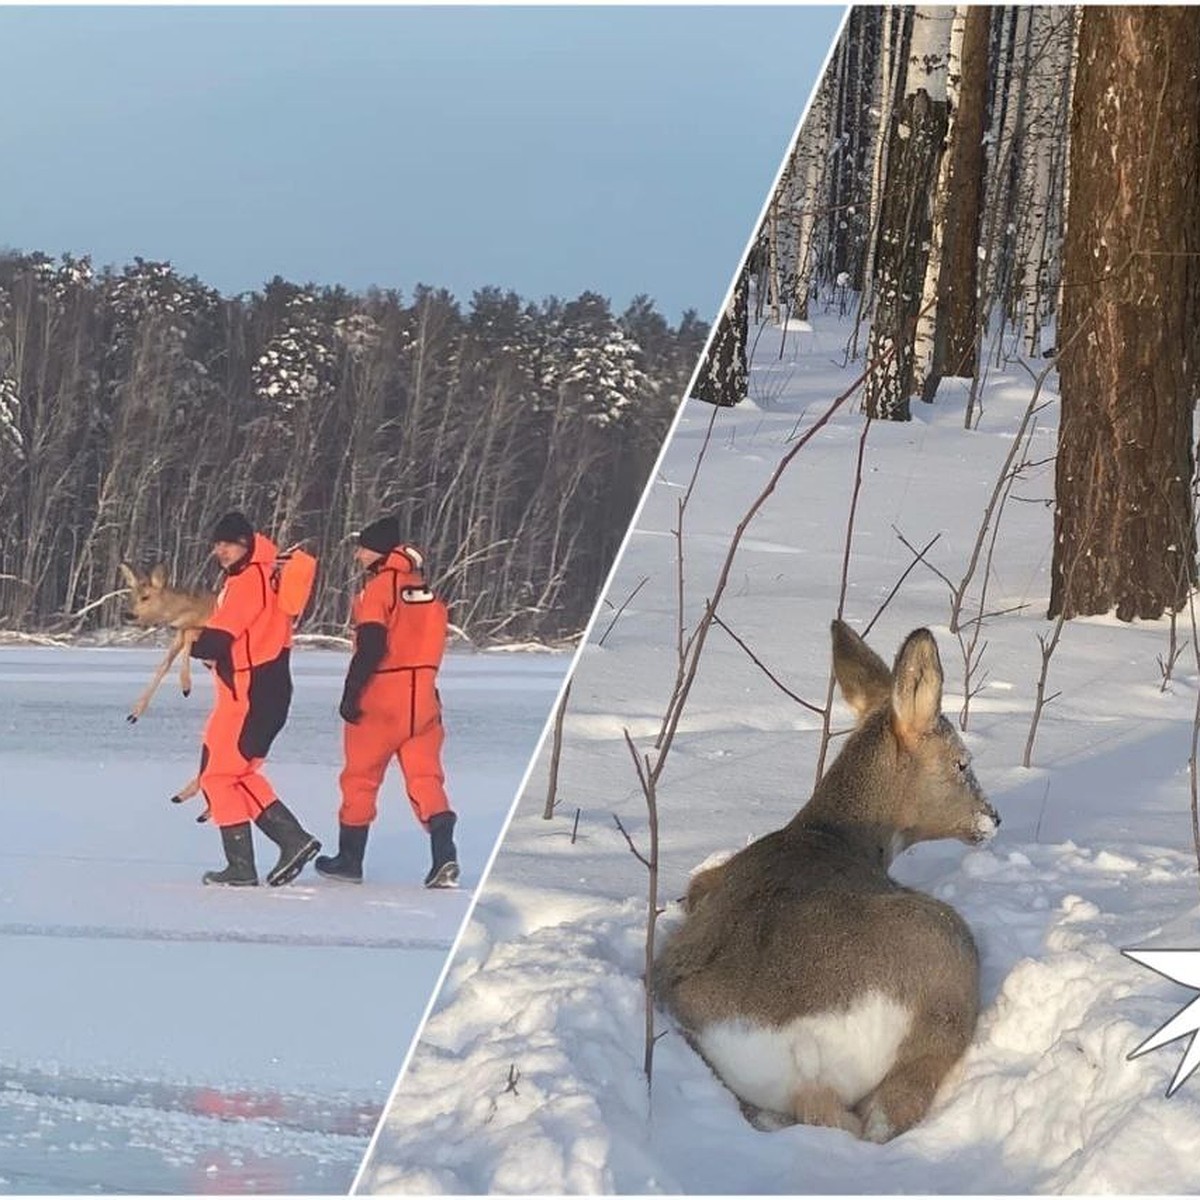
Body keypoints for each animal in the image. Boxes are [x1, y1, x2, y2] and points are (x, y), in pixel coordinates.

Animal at [652, 619, 998, 1142]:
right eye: (962, 762)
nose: (992, 818)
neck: (835, 835)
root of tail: (804, 1061)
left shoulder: (705, 884)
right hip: (948, 958)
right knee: (884, 1116)